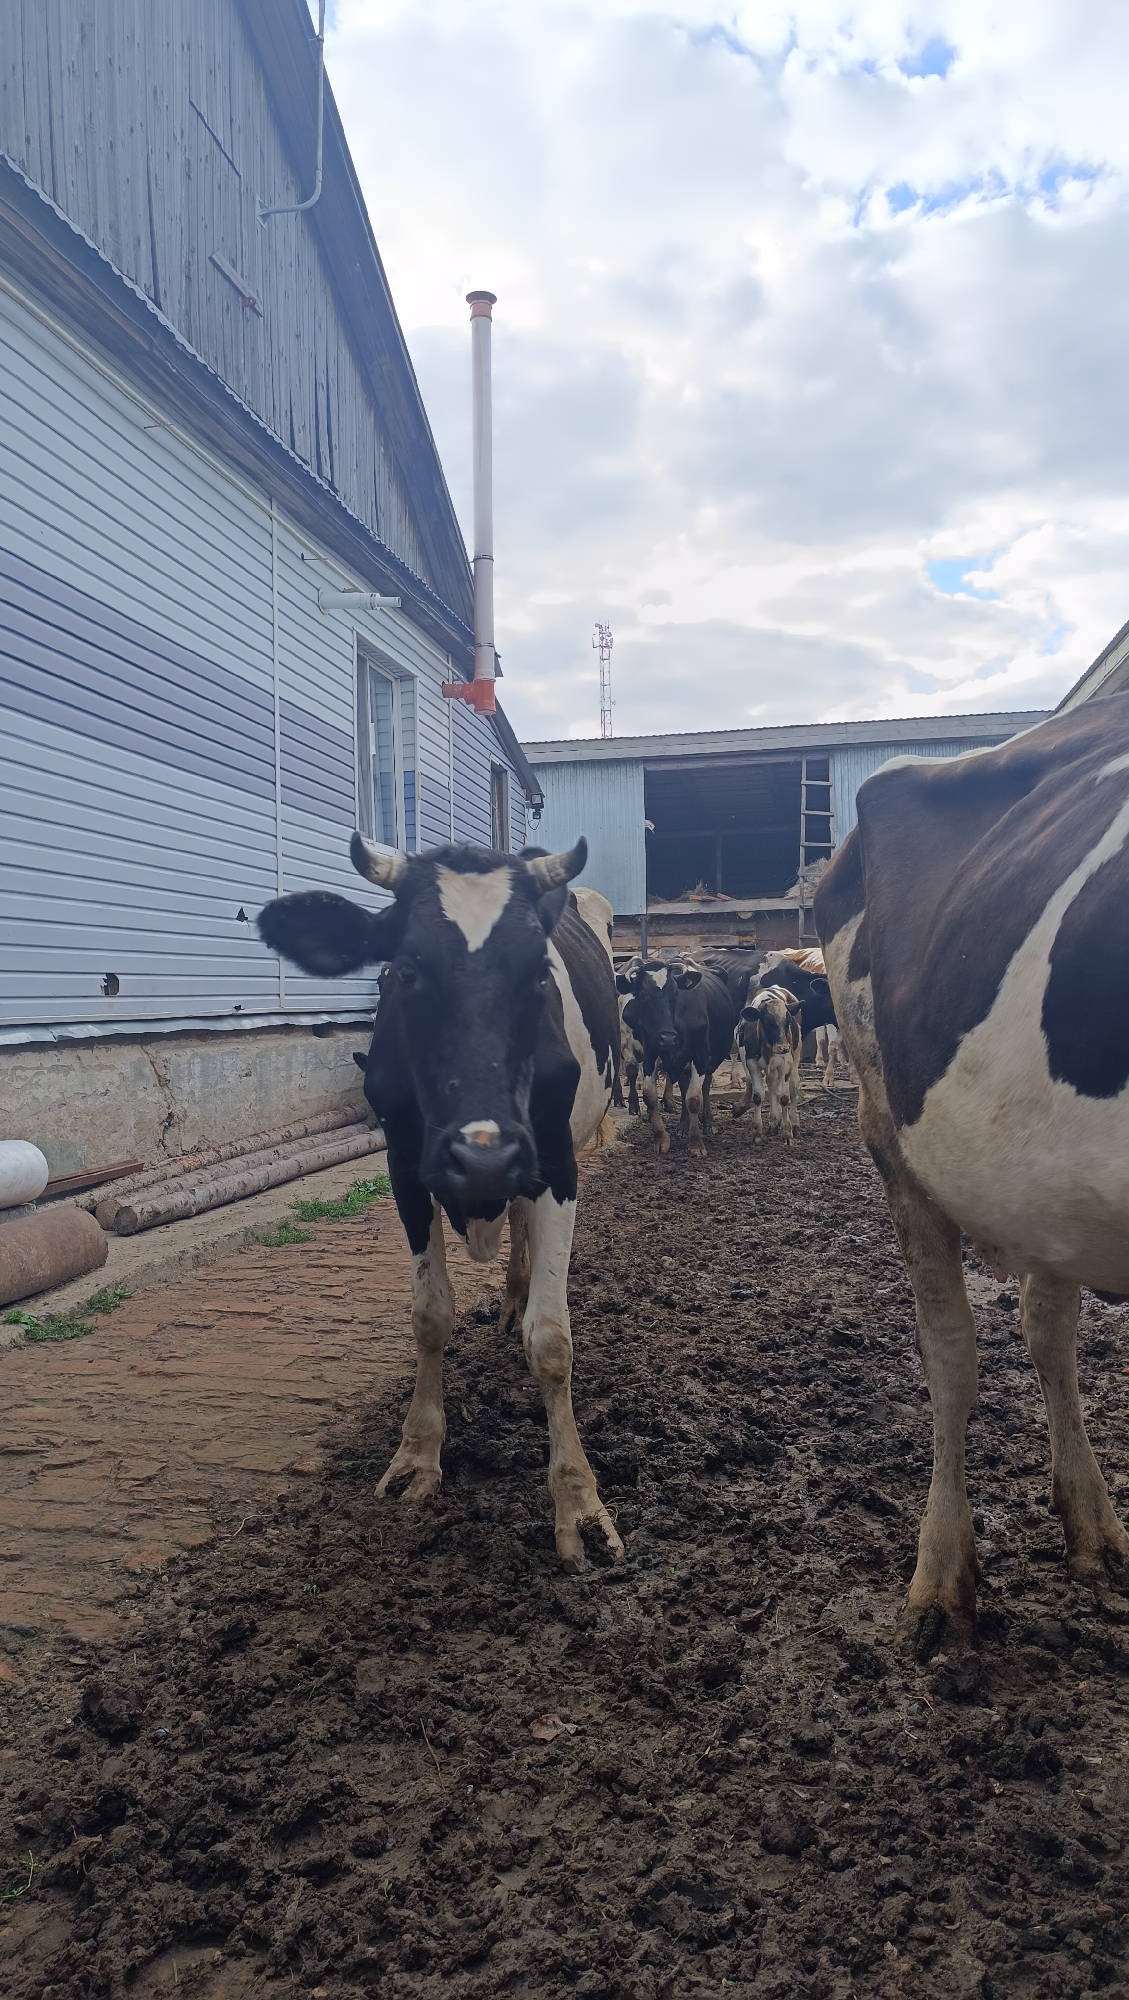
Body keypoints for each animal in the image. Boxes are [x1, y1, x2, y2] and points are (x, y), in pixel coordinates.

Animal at [258, 834, 624, 1574]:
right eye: (405, 970)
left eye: (538, 974)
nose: (482, 1156)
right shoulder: (404, 1163)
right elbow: (430, 1316)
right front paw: (417, 1455)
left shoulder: (557, 1163)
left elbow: (552, 1338)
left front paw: (577, 1501)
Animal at [615, 959, 736, 1157]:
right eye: (643, 994)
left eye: (676, 993)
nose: (667, 1037)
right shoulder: (650, 1052)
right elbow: (650, 1095)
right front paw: (661, 1139)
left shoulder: (701, 1056)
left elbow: (694, 1099)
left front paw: (696, 1144)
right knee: (684, 1085)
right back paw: (683, 1126)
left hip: (710, 1060)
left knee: (705, 1086)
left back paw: (707, 1122)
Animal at [814, 692, 1129, 1655]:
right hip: (889, 1132)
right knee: (951, 1352)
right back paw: (940, 1576)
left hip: (1046, 1187)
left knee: (1045, 1326)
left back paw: (1094, 1530)